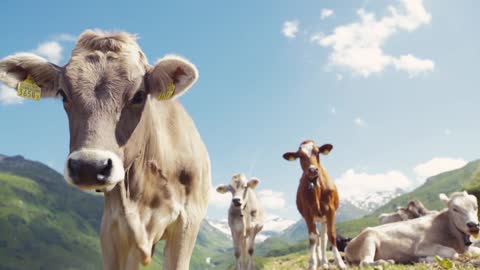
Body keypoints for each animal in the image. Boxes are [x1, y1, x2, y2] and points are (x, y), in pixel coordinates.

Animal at [284, 140, 346, 270]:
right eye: (300, 156)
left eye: (318, 152)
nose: (312, 170)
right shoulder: (307, 213)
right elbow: (313, 238)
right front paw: (312, 263)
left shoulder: (330, 210)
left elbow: (331, 235)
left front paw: (340, 262)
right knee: (317, 237)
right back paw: (320, 261)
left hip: (323, 219)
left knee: (323, 238)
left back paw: (325, 262)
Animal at [344, 192, 480, 266]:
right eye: (455, 209)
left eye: (476, 207)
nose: (473, 224)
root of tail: (348, 246)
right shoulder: (421, 246)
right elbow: (452, 253)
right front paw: (424, 259)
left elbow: (476, 251)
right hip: (369, 238)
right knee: (365, 262)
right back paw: (385, 262)